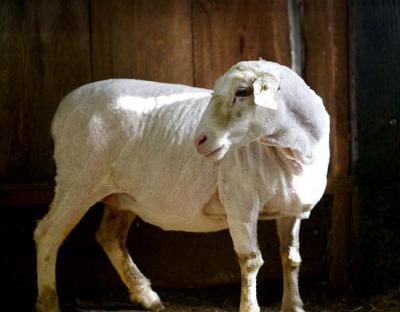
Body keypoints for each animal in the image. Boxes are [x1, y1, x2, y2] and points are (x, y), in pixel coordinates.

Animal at [34, 59, 330, 312]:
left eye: (243, 91)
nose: (199, 140)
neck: (290, 153)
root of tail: (63, 108)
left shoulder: (291, 209)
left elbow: (291, 258)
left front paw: (294, 306)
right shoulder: (241, 203)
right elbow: (251, 261)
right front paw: (249, 307)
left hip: (122, 194)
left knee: (109, 236)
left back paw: (146, 295)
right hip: (77, 180)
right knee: (47, 233)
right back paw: (48, 302)